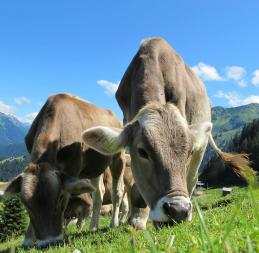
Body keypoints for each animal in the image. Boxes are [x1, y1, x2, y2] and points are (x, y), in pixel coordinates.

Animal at [0, 93, 126, 247]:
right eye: (25, 203)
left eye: (60, 197)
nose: (49, 242)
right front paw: (28, 239)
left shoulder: (73, 167)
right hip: (95, 165)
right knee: (98, 193)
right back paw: (93, 226)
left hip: (118, 157)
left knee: (118, 190)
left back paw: (114, 223)